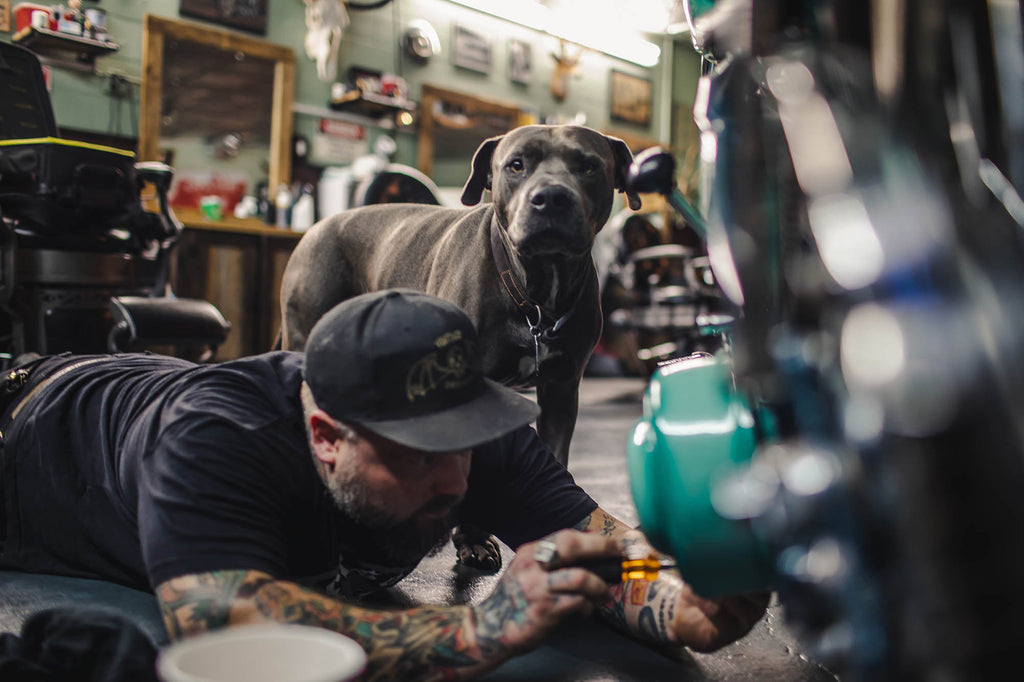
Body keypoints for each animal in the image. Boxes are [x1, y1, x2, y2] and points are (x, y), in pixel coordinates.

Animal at [280, 124, 638, 565]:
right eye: (516, 165)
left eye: (588, 166)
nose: (551, 197)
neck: (535, 292)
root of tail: (318, 226)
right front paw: (470, 537)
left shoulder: (561, 390)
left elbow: (554, 459)